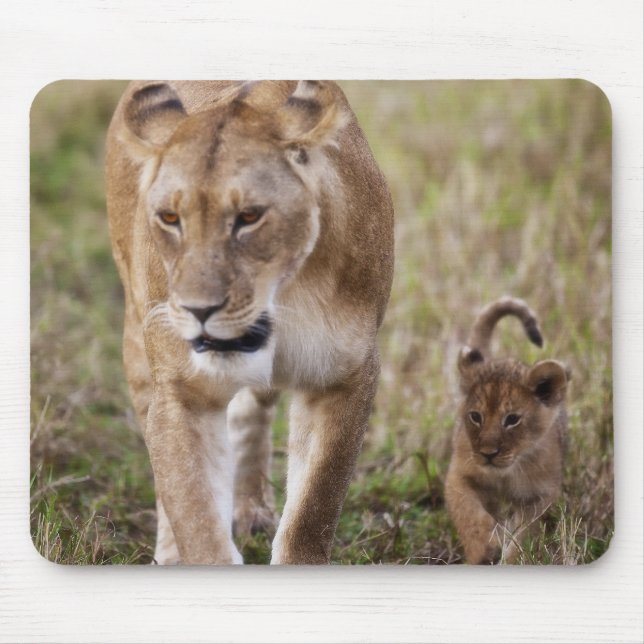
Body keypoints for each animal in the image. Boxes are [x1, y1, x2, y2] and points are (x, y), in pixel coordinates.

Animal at [105, 81, 394, 564]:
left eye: (249, 217)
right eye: (170, 218)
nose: (199, 310)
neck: (284, 298)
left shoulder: (344, 377)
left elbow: (314, 507)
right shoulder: (182, 391)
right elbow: (193, 512)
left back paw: (250, 509)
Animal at [444, 297, 569, 564]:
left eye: (512, 420)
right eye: (475, 417)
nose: (488, 454)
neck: (506, 474)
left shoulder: (541, 495)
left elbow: (524, 537)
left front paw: (511, 558)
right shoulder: (459, 474)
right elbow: (468, 512)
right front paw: (484, 548)